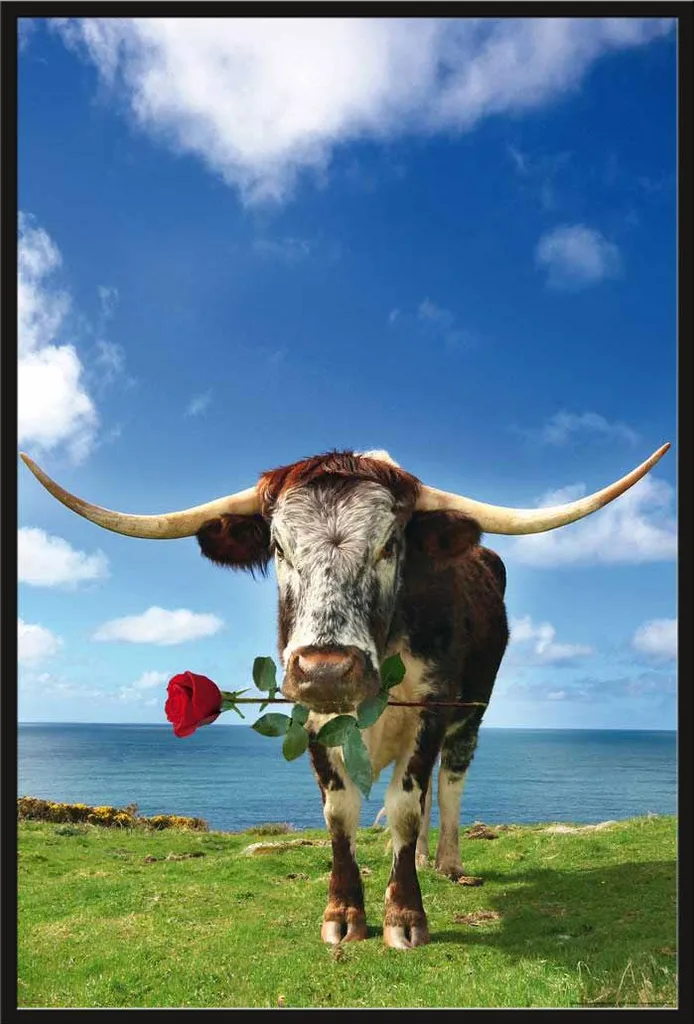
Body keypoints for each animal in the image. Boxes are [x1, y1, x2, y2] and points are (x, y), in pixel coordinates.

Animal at [20, 442, 670, 949]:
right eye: (279, 548)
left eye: (390, 545)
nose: (328, 670)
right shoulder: (309, 716)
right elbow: (341, 813)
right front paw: (345, 913)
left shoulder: (432, 707)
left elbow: (406, 805)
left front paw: (404, 915)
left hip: (472, 712)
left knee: (450, 781)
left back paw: (447, 861)